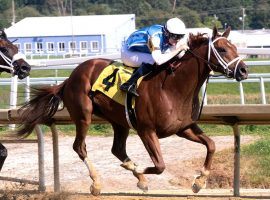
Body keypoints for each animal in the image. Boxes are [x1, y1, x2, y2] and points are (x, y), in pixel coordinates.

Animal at [17, 27, 248, 195]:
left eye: (235, 47)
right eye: (223, 50)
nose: (244, 70)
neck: (174, 87)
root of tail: (69, 78)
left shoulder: (184, 128)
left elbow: (211, 145)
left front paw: (199, 181)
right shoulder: (147, 131)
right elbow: (160, 165)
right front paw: (138, 169)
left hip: (119, 121)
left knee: (117, 149)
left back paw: (139, 178)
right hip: (83, 116)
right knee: (79, 147)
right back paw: (98, 182)